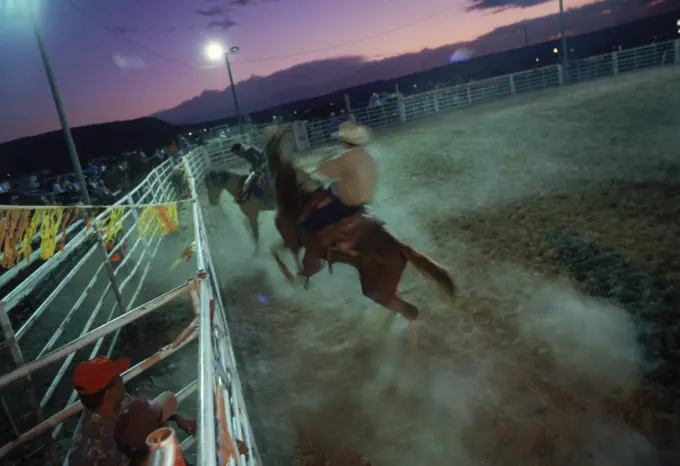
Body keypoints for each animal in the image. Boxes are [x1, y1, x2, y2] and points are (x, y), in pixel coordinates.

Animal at [266, 126, 456, 346]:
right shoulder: (293, 242)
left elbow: (283, 254)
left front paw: (293, 277)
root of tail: (400, 247)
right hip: (382, 288)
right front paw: (296, 278)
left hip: (376, 288)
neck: (297, 196)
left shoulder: (294, 238)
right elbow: (279, 251)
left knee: (410, 310)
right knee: (403, 308)